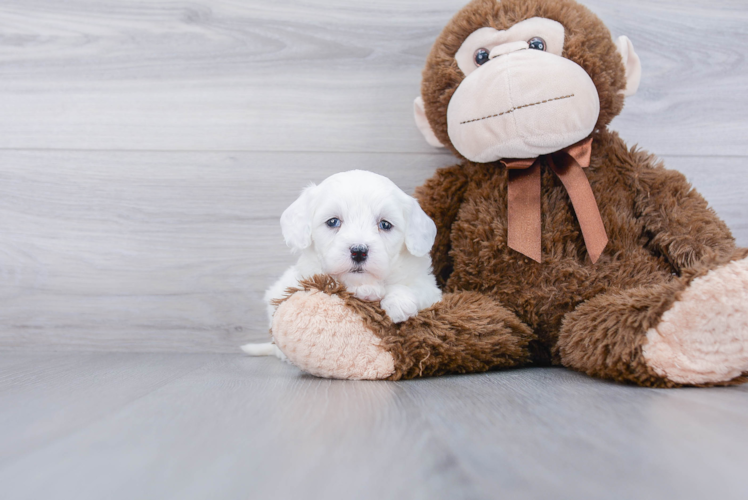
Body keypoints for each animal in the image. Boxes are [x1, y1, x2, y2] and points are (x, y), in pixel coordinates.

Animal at [240, 170, 442, 358]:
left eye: (385, 225)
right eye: (333, 222)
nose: (359, 251)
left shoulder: (431, 290)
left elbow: (415, 287)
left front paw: (399, 301)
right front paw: (366, 290)